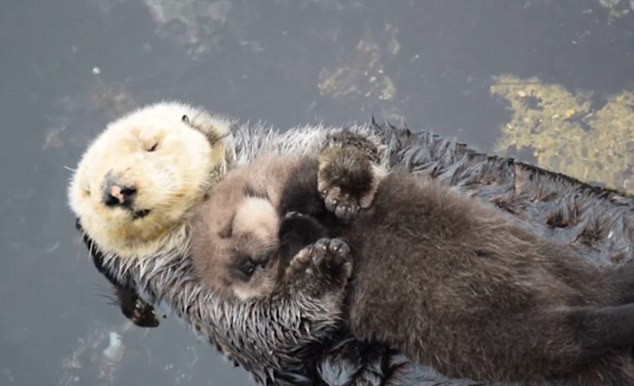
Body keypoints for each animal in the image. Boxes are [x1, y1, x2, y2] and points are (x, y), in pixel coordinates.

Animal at [189, 139, 634, 386]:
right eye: (245, 270)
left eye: (230, 229)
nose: (253, 259)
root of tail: (567, 293)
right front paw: (316, 253)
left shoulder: (296, 183)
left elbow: (313, 186)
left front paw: (335, 189)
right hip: (518, 335)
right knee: (580, 331)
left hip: (557, 267)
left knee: (599, 297)